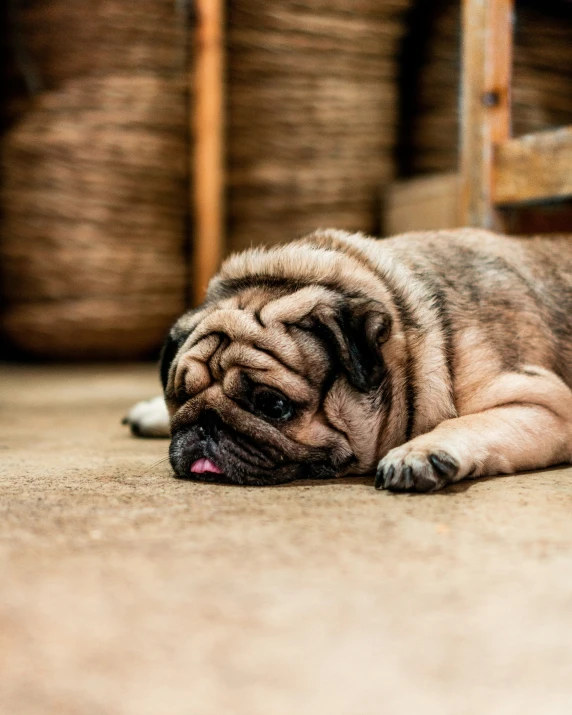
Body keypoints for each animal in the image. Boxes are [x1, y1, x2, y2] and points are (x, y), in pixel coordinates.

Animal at [124, 229, 572, 492]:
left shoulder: (546, 404)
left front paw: (422, 451)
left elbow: (465, 423)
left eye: (273, 406)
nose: (205, 424)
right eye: (180, 397)